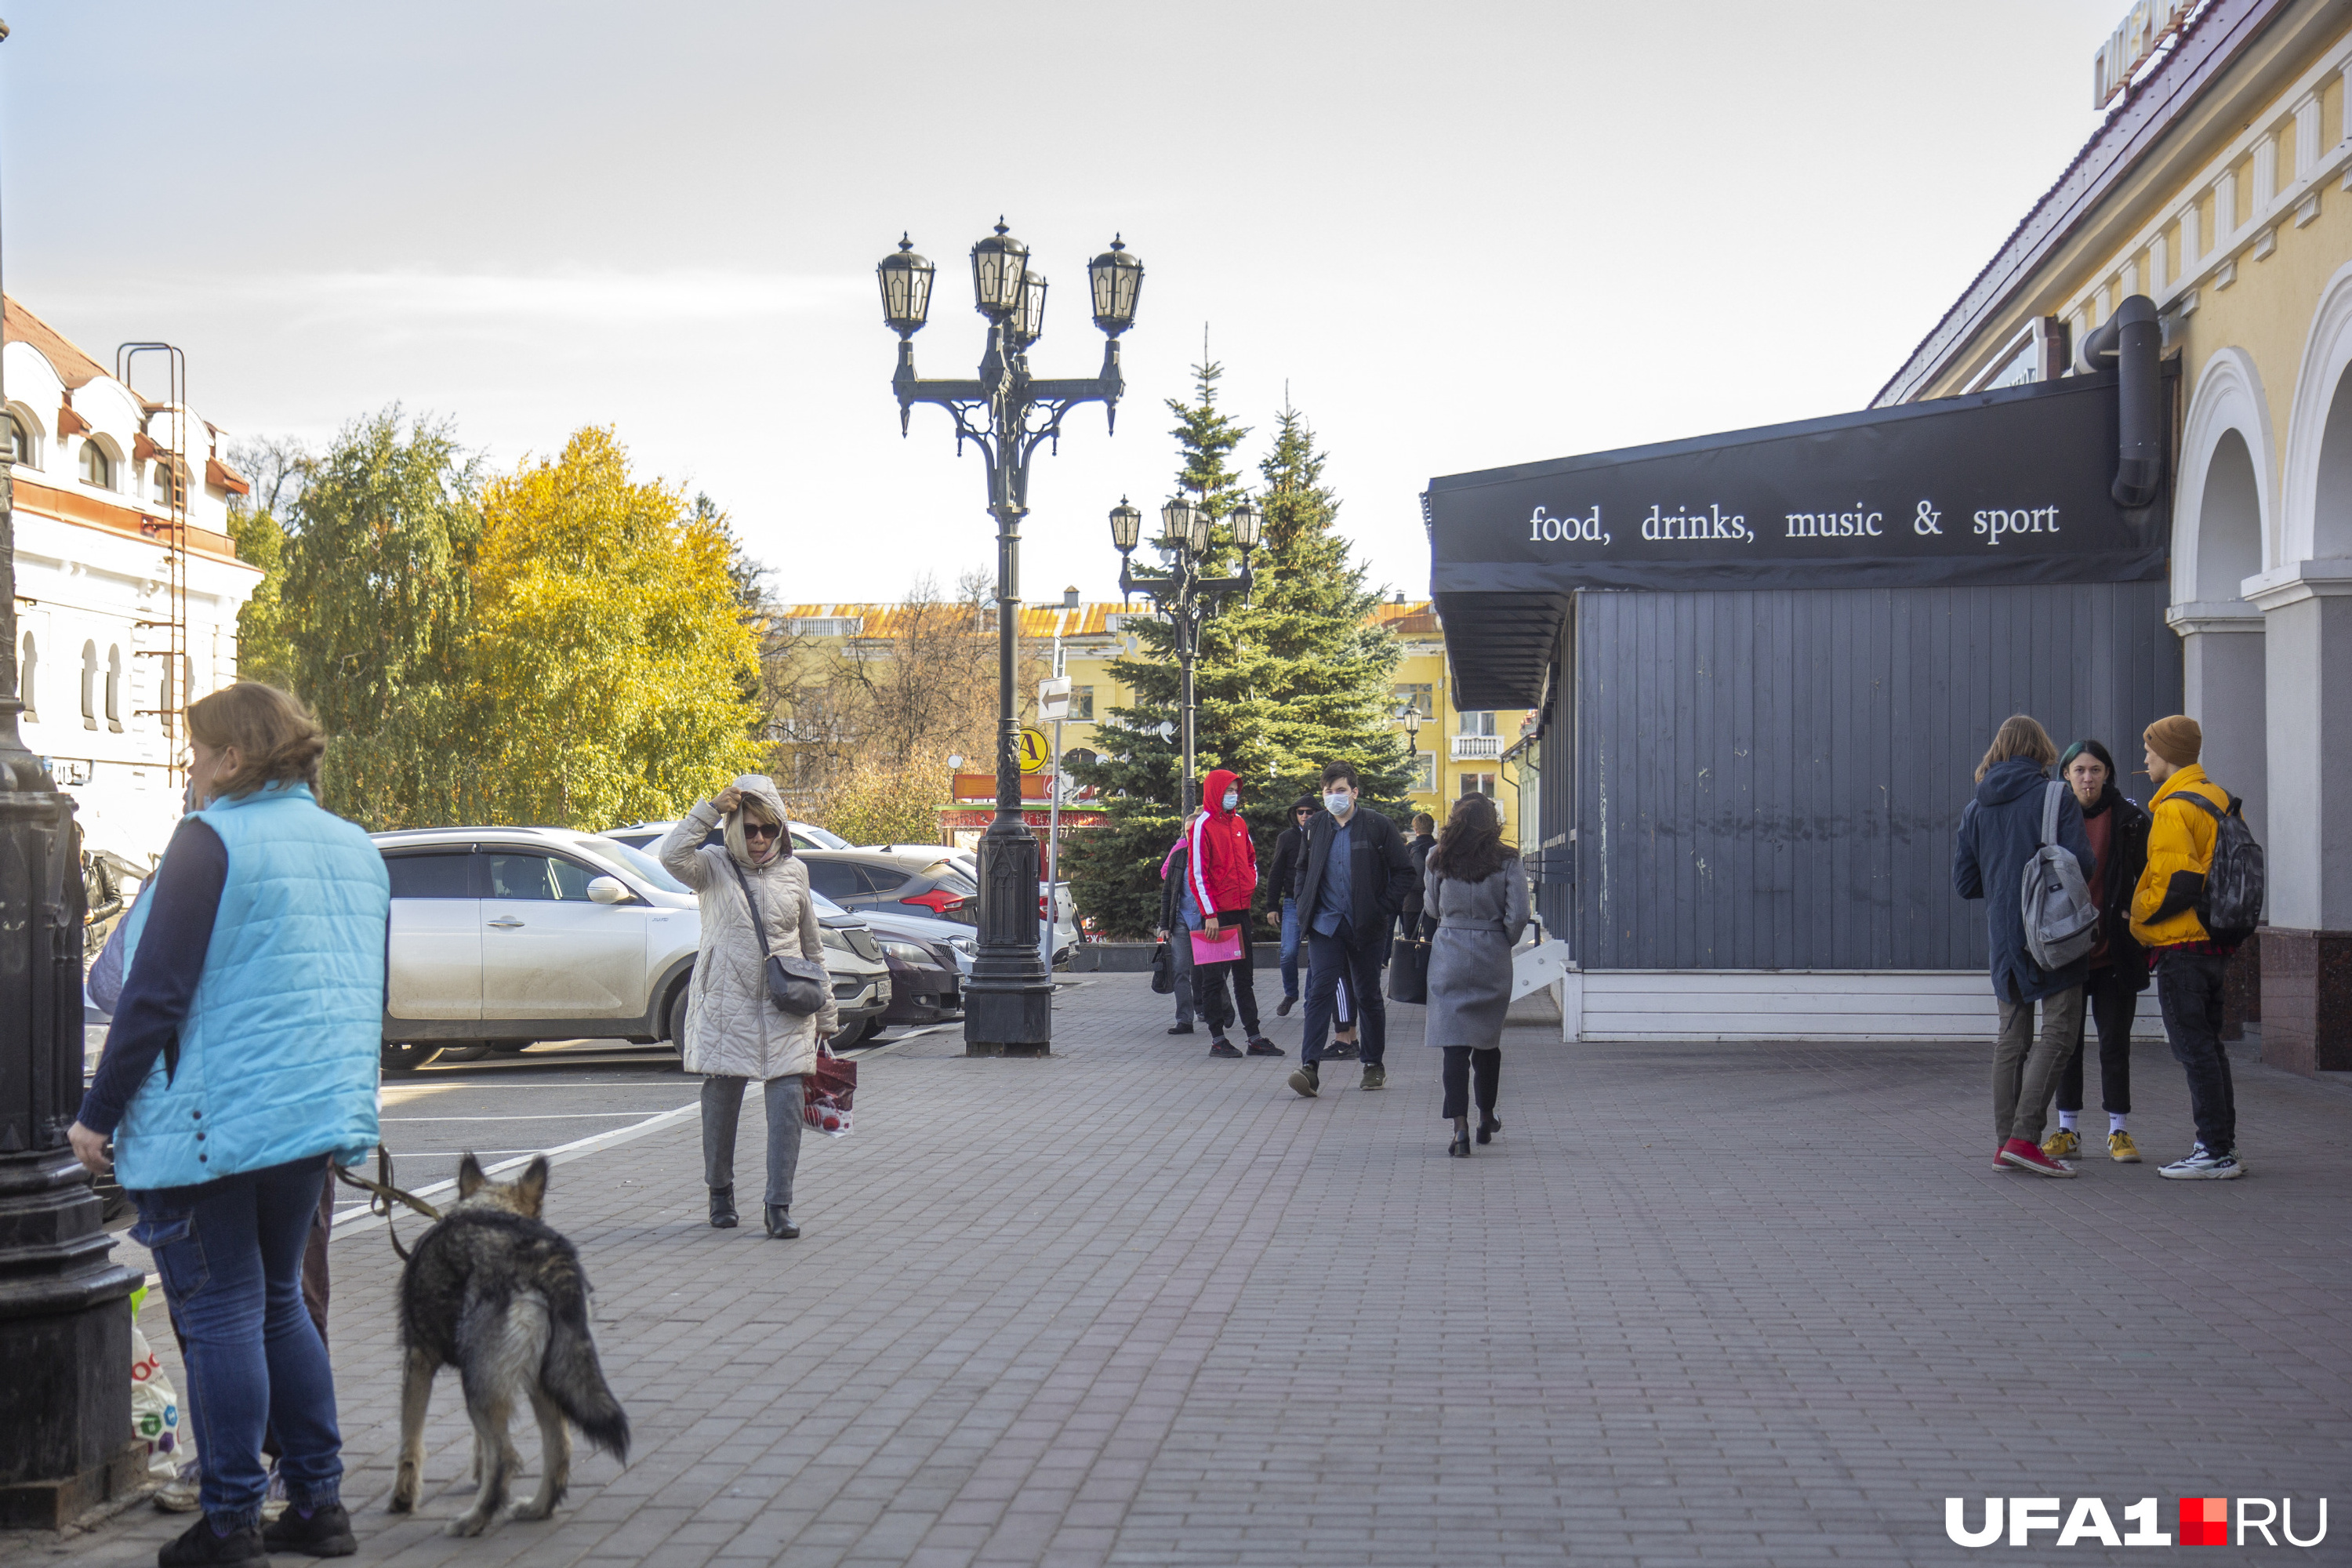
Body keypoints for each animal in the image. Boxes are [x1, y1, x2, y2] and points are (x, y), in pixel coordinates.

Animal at [395, 1152, 635, 1533]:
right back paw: (537, 1508)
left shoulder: (418, 1362)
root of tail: (546, 1257)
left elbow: (410, 1443)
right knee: (560, 1447)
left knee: (507, 1456)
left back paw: (474, 1521)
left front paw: (403, 1498)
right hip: (541, 1380)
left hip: (480, 1387)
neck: (488, 1206)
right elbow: (480, 1446)